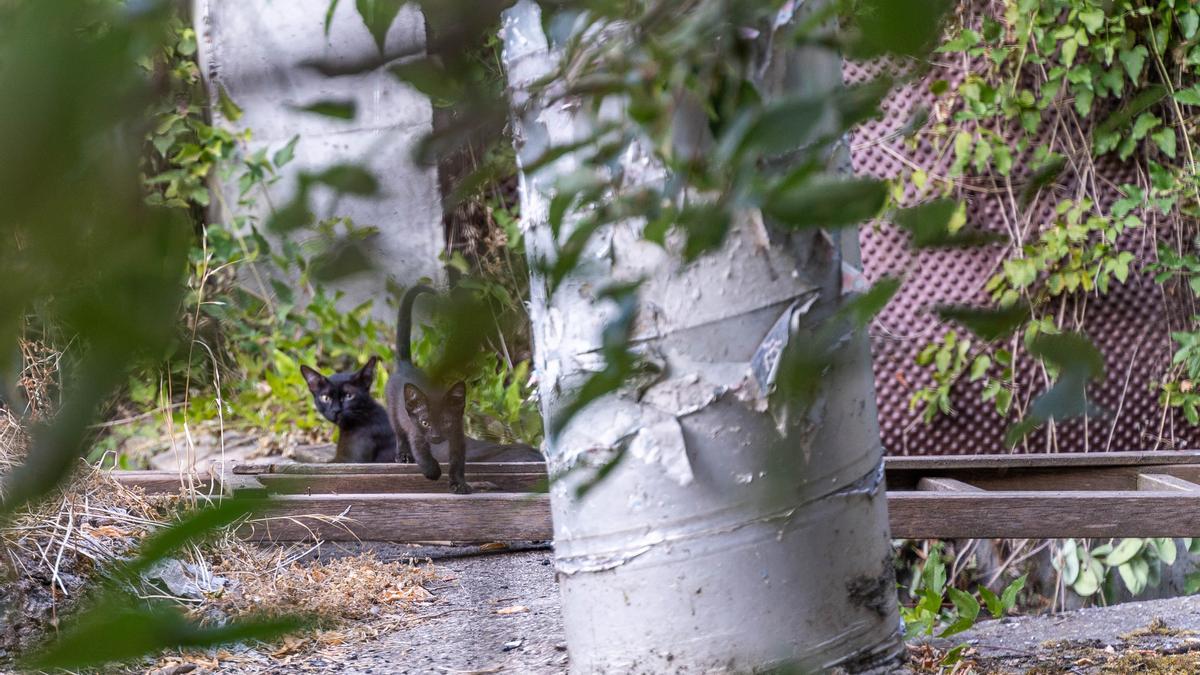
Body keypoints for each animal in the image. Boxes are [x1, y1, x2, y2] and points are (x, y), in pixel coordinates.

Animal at [388, 281, 472, 492]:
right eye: (425, 422)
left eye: (446, 422)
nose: (435, 436)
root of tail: (406, 364)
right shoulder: (415, 431)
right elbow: (422, 454)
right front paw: (433, 472)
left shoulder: (458, 433)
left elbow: (457, 461)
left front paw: (459, 483)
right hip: (393, 411)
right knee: (399, 433)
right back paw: (403, 455)